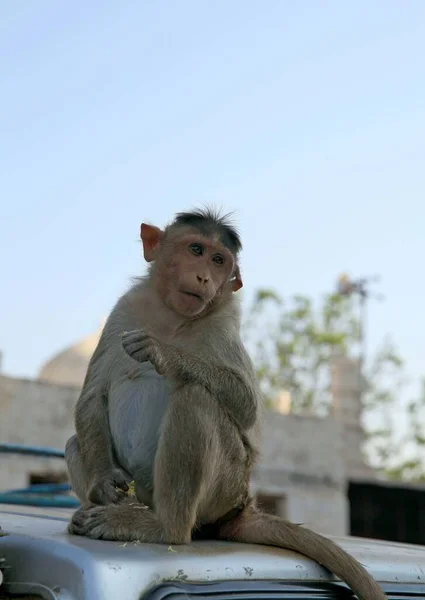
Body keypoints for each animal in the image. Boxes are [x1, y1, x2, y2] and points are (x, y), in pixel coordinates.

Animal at [64, 207, 386, 600]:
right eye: (196, 250)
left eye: (219, 261)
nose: (204, 276)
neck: (172, 318)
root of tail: (240, 506)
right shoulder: (124, 310)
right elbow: (92, 395)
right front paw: (103, 484)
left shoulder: (224, 324)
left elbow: (245, 405)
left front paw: (164, 353)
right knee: (76, 440)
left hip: (225, 487)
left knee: (196, 399)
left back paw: (163, 527)